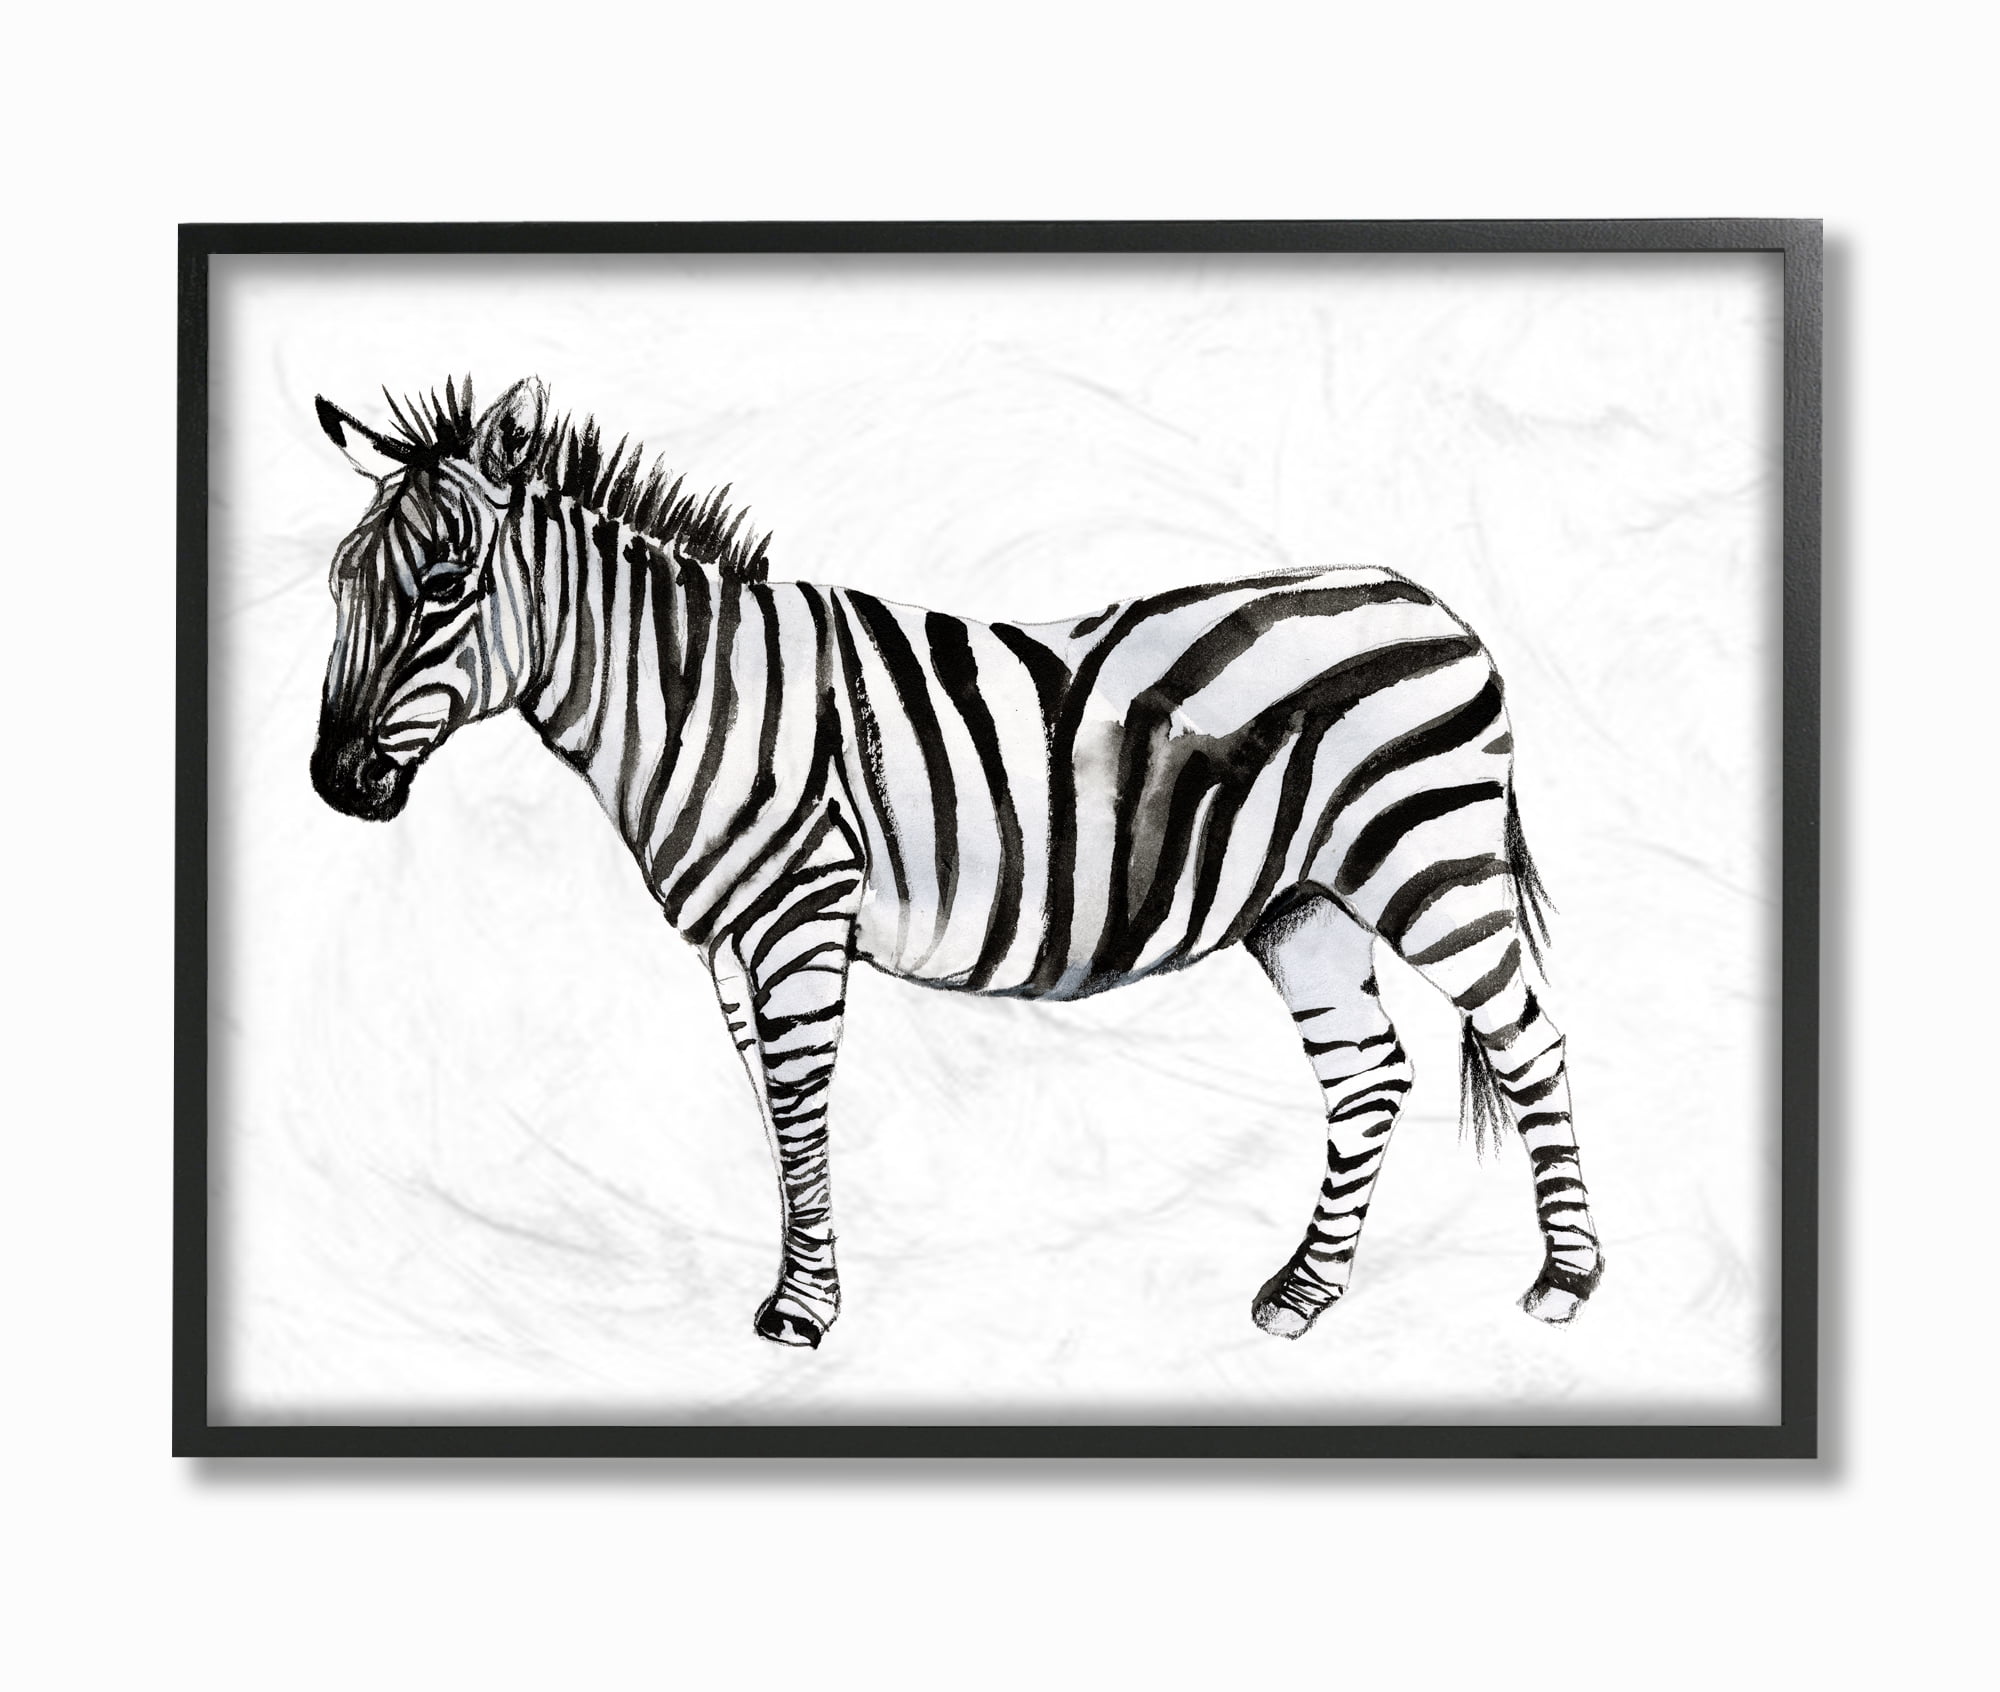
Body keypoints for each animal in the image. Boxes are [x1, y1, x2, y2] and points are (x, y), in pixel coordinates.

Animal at [309, 375, 1604, 1349]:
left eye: (442, 588)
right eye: (339, 585)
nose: (333, 782)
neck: (691, 697)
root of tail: (1426, 598)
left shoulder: (799, 911)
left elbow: (798, 1103)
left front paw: (803, 1309)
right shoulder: (729, 939)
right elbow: (769, 1110)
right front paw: (803, 1276)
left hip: (1425, 861)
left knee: (1524, 1036)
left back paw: (1566, 1281)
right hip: (1304, 904)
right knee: (1367, 1073)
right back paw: (1302, 1291)